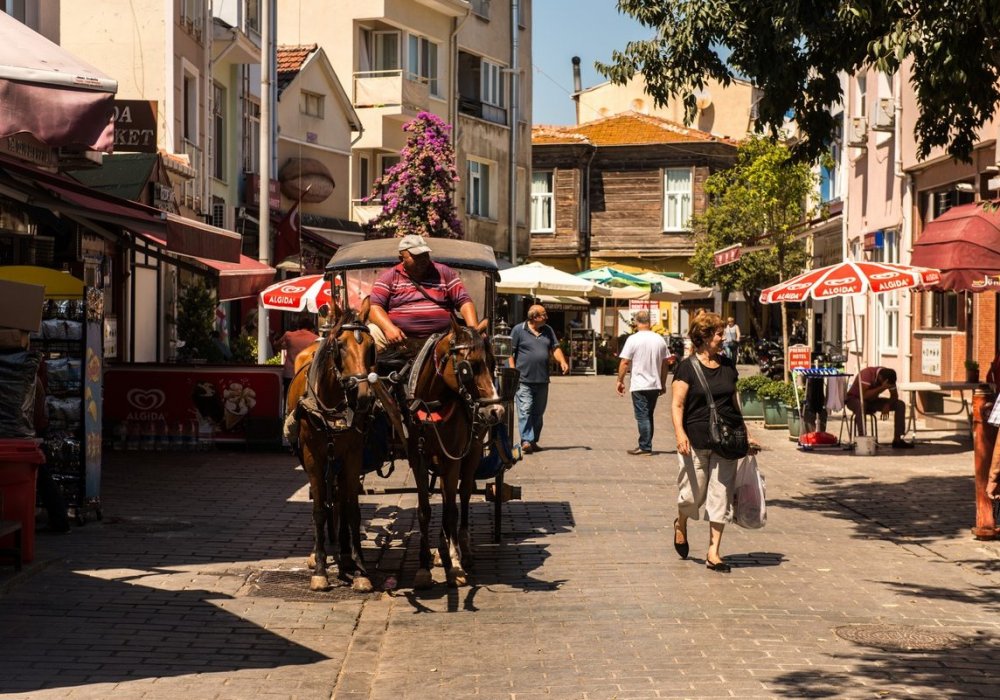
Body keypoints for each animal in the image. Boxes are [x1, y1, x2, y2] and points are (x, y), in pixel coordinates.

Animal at [286, 298, 378, 592]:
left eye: (370, 346)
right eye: (340, 345)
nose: (363, 396)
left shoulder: (353, 454)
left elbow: (351, 509)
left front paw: (359, 570)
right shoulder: (312, 456)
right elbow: (318, 510)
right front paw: (320, 569)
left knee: (338, 498)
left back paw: (345, 553)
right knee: (326, 499)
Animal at [402, 316, 504, 584]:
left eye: (493, 364)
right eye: (469, 367)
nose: (496, 412)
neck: (432, 405)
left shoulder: (454, 459)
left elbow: (451, 511)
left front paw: (455, 564)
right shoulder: (418, 459)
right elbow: (425, 510)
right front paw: (424, 566)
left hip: (471, 455)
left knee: (463, 497)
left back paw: (461, 549)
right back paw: (442, 548)